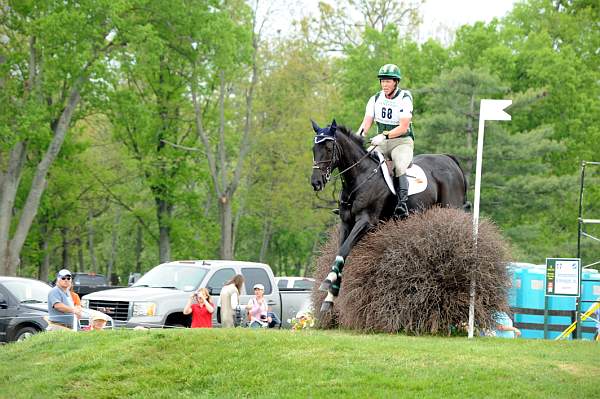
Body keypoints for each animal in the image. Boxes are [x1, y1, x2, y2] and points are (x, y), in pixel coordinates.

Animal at [312, 119, 472, 312]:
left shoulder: (366, 222)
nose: (316, 182)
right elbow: (342, 253)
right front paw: (330, 296)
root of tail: (449, 159)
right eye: (314, 148)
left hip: (451, 207)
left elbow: (343, 250)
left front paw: (328, 282)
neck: (360, 177)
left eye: (329, 148)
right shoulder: (346, 223)